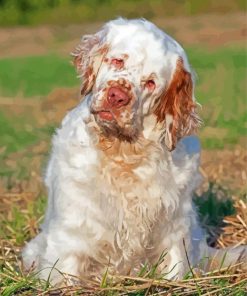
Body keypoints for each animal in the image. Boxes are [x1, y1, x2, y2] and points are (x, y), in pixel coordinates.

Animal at [22, 17, 246, 284]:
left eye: (150, 83)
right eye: (118, 61)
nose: (117, 96)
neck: (124, 154)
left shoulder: (175, 231)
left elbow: (175, 268)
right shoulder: (70, 234)